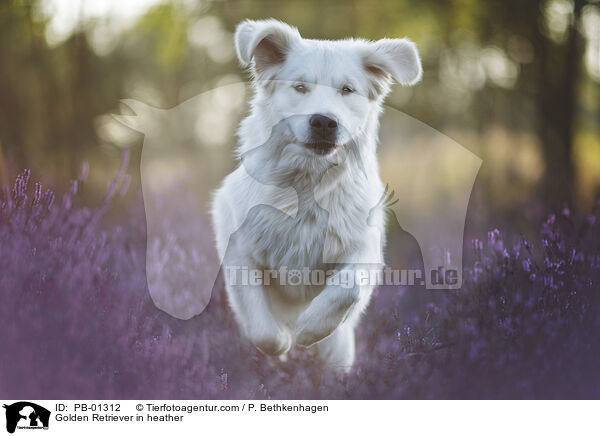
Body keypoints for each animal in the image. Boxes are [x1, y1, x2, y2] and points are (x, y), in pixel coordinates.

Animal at [211, 17, 422, 372]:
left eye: (347, 89)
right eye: (299, 87)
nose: (324, 122)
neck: (308, 182)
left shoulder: (363, 245)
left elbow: (348, 288)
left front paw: (309, 329)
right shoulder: (238, 245)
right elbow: (258, 319)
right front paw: (283, 340)